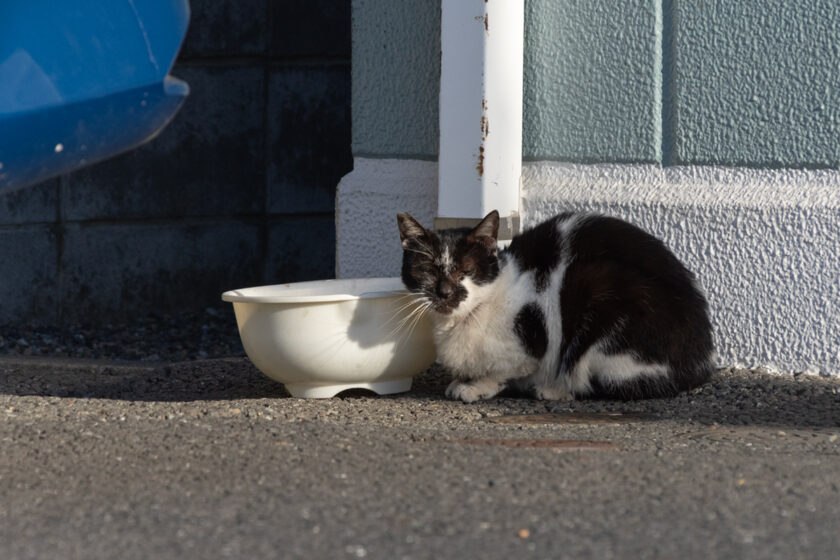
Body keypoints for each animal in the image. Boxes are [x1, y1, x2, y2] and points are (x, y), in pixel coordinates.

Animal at [398, 211, 712, 402]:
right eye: (427, 270)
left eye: (465, 270)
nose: (444, 292)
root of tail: (701, 361)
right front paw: (464, 380)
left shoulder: (534, 332)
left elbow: (507, 369)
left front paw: (476, 386)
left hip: (599, 293)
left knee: (593, 379)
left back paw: (553, 389)